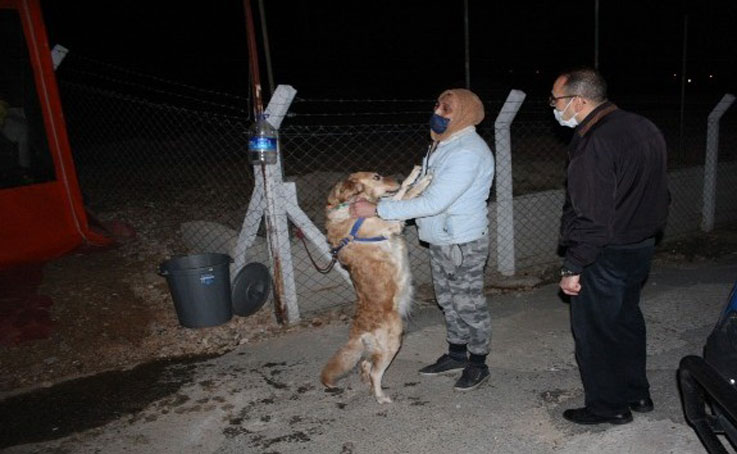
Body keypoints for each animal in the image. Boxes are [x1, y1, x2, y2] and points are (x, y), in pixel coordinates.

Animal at [320, 165, 428, 402]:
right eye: (377, 177)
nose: (397, 177)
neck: (349, 206)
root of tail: (359, 332)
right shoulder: (388, 223)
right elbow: (402, 196)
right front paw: (420, 180)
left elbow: (396, 198)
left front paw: (414, 176)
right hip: (394, 338)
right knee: (376, 371)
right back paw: (380, 397)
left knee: (366, 364)